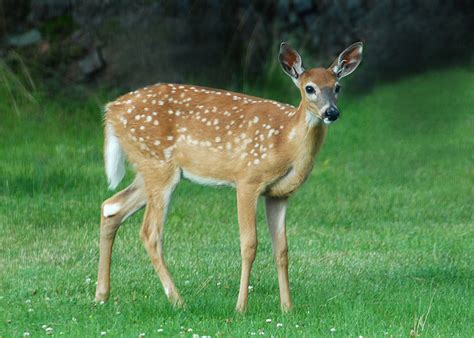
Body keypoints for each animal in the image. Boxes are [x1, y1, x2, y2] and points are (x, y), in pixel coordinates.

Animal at [95, 41, 362, 312]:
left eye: (337, 87)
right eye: (309, 88)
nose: (331, 112)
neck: (285, 142)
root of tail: (111, 110)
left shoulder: (279, 194)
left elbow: (282, 249)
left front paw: (287, 308)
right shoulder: (247, 179)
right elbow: (249, 244)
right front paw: (241, 307)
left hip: (150, 168)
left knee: (111, 207)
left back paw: (101, 295)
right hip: (158, 164)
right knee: (150, 232)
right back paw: (178, 300)